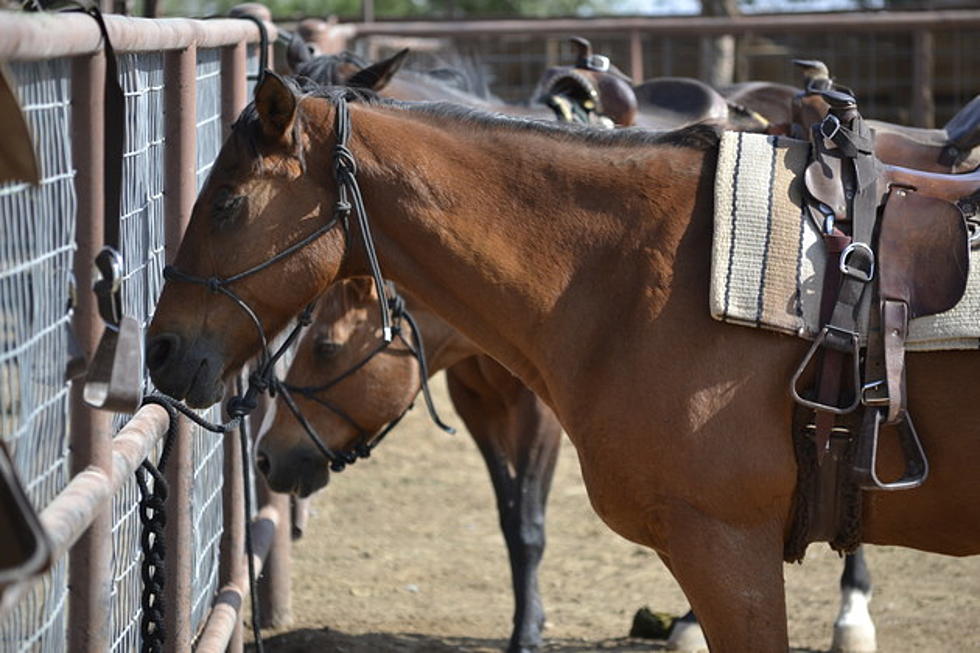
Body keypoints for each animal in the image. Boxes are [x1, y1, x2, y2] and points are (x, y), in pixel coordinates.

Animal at [255, 278, 560, 648]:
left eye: (326, 347)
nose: (265, 457)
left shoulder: (539, 414)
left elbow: (528, 524)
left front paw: (526, 632)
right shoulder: (476, 406)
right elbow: (511, 520)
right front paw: (529, 620)